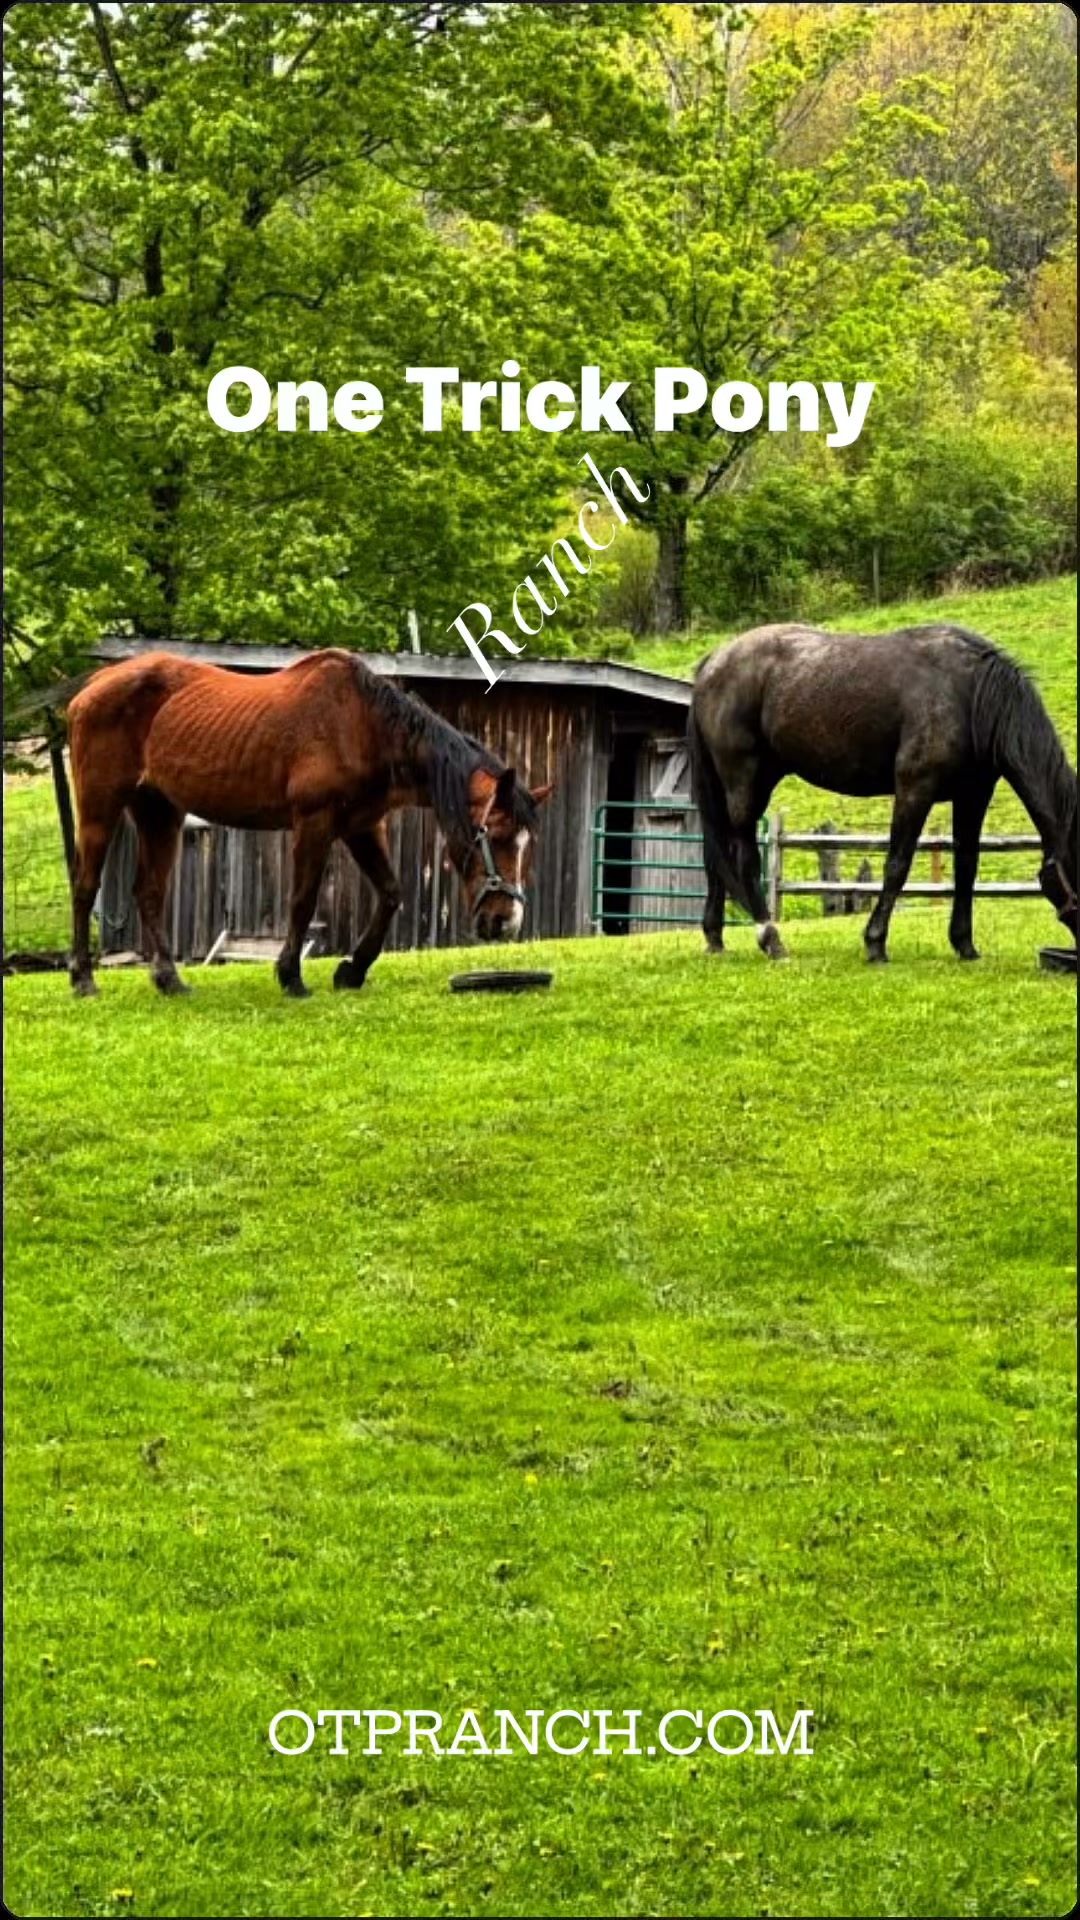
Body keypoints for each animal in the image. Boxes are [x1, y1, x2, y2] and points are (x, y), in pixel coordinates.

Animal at [65, 648, 552, 997]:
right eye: (496, 835)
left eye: (528, 844)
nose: (506, 921)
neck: (363, 726)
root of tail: (95, 684)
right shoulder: (314, 823)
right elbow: (303, 899)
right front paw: (291, 976)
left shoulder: (361, 827)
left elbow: (391, 893)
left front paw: (353, 969)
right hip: (100, 806)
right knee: (85, 887)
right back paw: (84, 980)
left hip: (159, 812)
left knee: (149, 893)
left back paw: (169, 980)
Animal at [688, 623, 1078, 963]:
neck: (969, 695)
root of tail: (713, 662)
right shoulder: (914, 789)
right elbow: (897, 865)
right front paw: (875, 943)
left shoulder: (973, 795)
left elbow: (966, 865)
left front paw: (965, 945)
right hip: (744, 783)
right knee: (743, 858)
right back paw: (771, 940)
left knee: (714, 856)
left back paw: (715, 938)